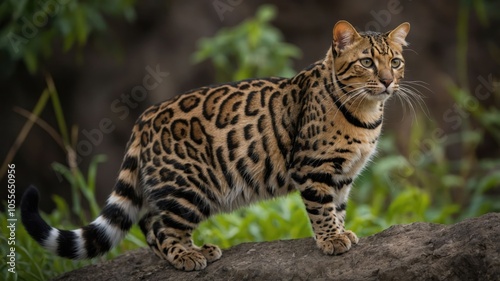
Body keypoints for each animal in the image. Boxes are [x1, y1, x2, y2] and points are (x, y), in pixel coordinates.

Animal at [20, 20, 410, 270]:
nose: (388, 82)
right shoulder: (312, 167)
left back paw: (194, 250)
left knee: (148, 222)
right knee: (160, 226)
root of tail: (143, 119)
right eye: (366, 62)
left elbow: (338, 206)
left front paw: (342, 232)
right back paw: (187, 257)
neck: (366, 111)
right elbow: (321, 208)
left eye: (395, 61)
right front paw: (331, 240)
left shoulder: (343, 173)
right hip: (189, 188)